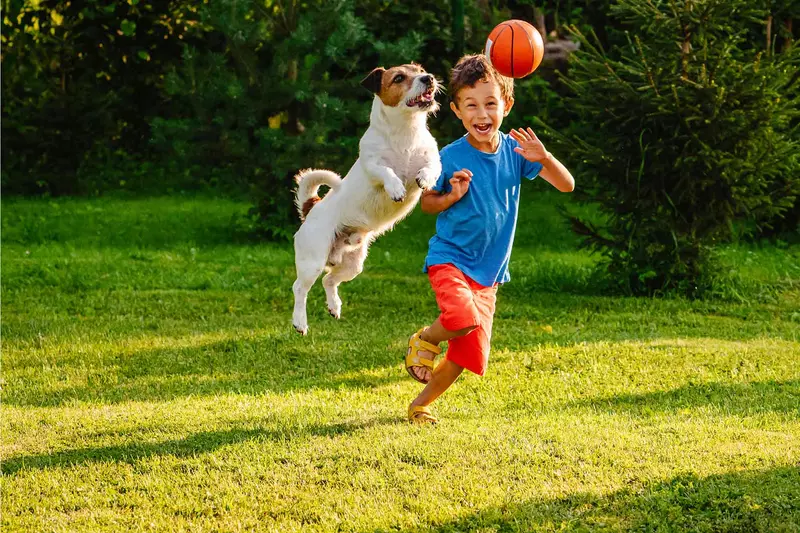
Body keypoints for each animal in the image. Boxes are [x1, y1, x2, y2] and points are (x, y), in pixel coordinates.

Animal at [294, 64, 440, 334]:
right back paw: (299, 322)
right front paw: (395, 187)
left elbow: (431, 168)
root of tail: (312, 208)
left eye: (420, 70)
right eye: (399, 78)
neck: (405, 132)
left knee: (329, 280)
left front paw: (424, 179)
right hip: (313, 260)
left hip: (353, 264)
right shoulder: (373, 166)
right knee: (300, 288)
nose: (429, 78)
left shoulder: (432, 159)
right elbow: (386, 172)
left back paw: (334, 306)